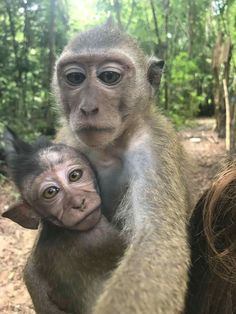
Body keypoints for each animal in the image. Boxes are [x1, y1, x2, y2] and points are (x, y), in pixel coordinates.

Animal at [24, 22, 193, 314]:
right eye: (75, 77)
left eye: (109, 77)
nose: (88, 108)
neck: (109, 147)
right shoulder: (66, 137)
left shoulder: (153, 148)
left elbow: (157, 241)